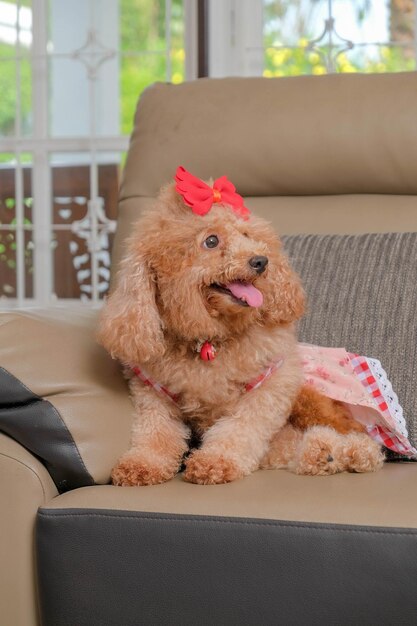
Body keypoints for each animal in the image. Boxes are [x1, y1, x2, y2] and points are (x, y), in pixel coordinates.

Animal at [98, 173, 384, 486]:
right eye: (211, 241)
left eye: (248, 236)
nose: (261, 261)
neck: (210, 339)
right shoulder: (153, 393)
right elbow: (155, 433)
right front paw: (141, 465)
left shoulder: (270, 386)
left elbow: (240, 429)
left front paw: (214, 462)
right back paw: (320, 453)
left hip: (312, 400)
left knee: (358, 435)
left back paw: (350, 452)